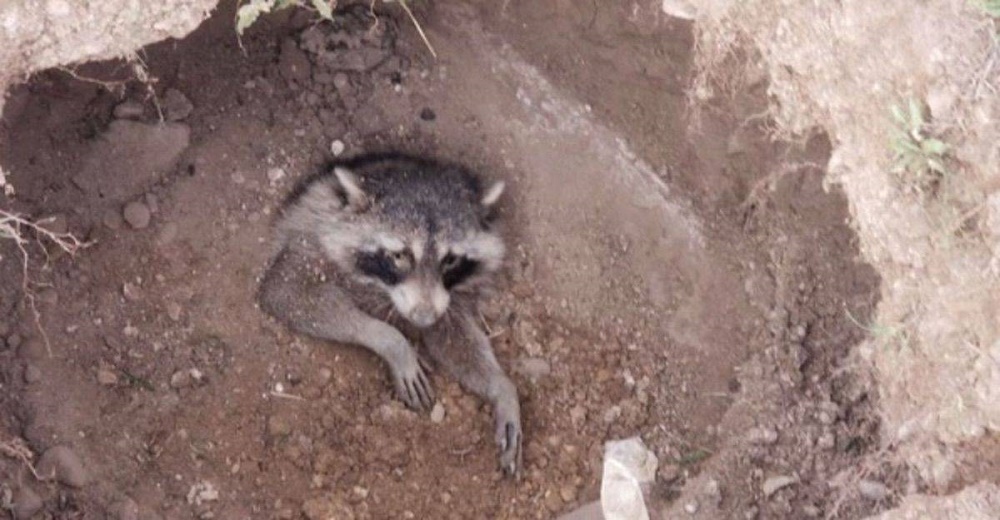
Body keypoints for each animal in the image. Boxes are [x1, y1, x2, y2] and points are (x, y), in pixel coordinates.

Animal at [258, 153, 524, 476]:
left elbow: (451, 336)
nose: (423, 318)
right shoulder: (312, 239)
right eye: (399, 255)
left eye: (450, 260)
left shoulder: (447, 300)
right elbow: (287, 290)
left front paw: (502, 387)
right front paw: (392, 341)